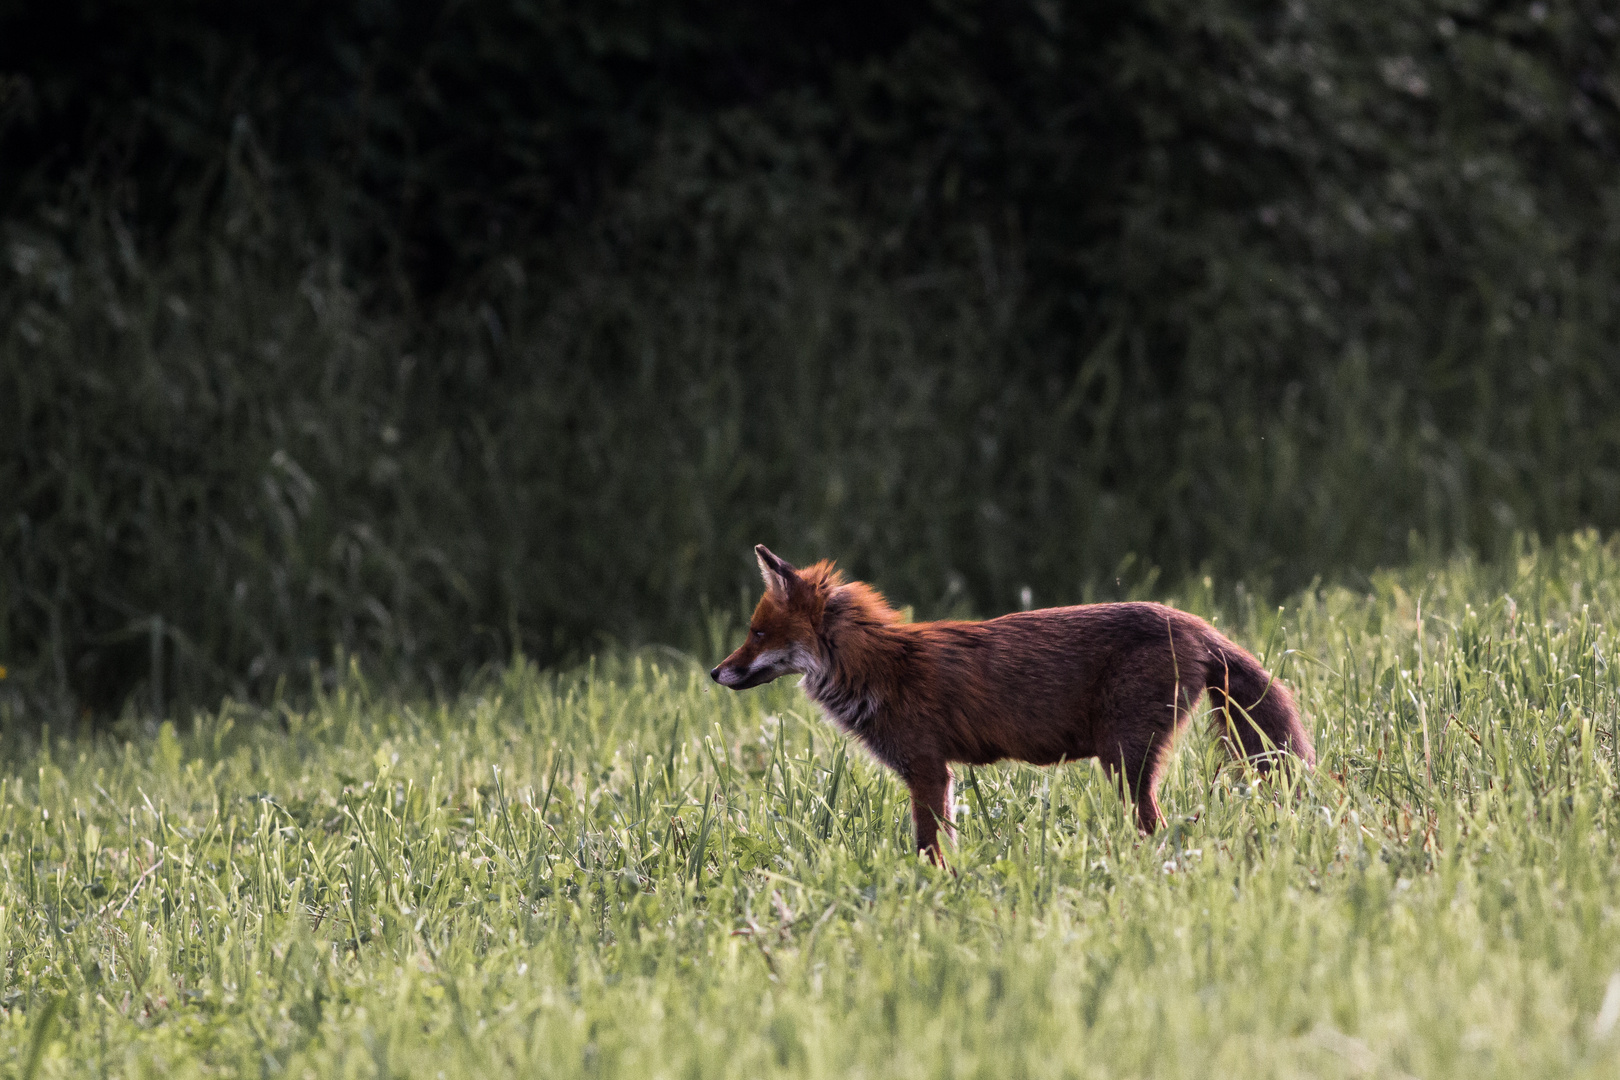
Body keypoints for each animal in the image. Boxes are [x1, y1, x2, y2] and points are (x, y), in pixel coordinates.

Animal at [712, 544, 1315, 867]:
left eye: (757, 633)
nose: (714, 673)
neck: (880, 666)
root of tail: (1193, 623)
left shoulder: (926, 769)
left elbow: (928, 846)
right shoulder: (941, 775)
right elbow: (943, 840)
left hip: (1123, 761)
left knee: (1156, 827)